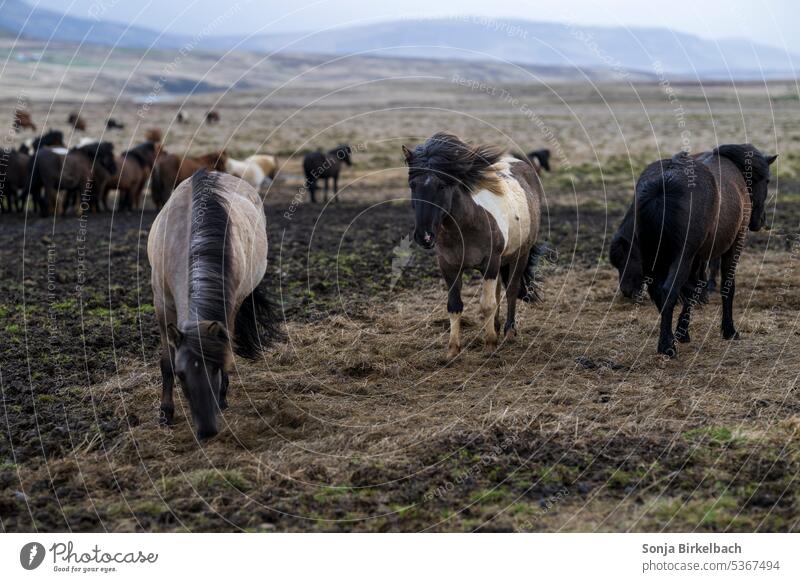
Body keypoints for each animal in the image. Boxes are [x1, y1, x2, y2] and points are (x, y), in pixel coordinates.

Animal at [148, 171, 282, 440]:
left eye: (216, 368)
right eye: (182, 374)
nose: (207, 430)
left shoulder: (231, 305)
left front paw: (222, 397)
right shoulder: (161, 306)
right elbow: (166, 363)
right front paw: (165, 413)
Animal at [400, 134, 544, 358]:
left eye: (442, 186)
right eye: (413, 185)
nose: (424, 236)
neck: (466, 225)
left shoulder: (491, 263)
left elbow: (487, 304)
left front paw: (490, 345)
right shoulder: (449, 267)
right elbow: (455, 305)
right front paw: (452, 350)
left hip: (519, 255)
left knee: (511, 290)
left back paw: (509, 331)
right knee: (498, 291)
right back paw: (496, 325)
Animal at [636, 146, 776, 358]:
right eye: (767, 180)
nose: (760, 221)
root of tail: (664, 183)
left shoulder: (698, 257)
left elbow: (695, 288)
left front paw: (683, 332)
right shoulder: (734, 245)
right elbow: (727, 286)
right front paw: (729, 330)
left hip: (654, 255)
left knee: (659, 291)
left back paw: (669, 338)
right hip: (681, 258)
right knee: (668, 291)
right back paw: (667, 346)